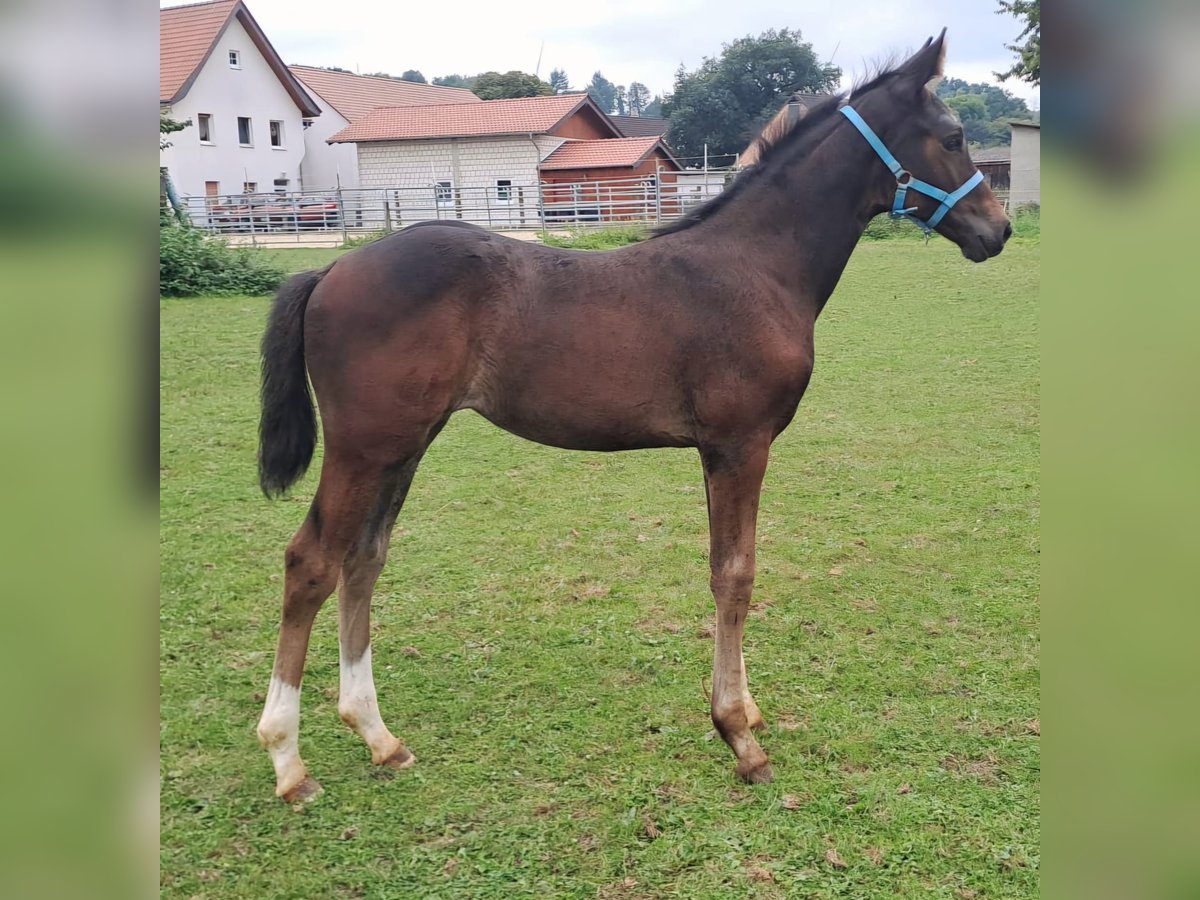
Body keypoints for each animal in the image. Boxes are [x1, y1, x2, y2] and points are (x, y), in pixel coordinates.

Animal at [258, 31, 1008, 801]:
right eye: (953, 138)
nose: (1000, 229)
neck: (757, 266)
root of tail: (330, 270)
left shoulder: (714, 451)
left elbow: (721, 567)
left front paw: (745, 713)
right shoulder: (741, 444)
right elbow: (736, 574)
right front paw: (739, 737)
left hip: (405, 445)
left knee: (363, 558)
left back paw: (379, 737)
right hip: (365, 446)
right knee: (310, 561)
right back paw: (288, 761)